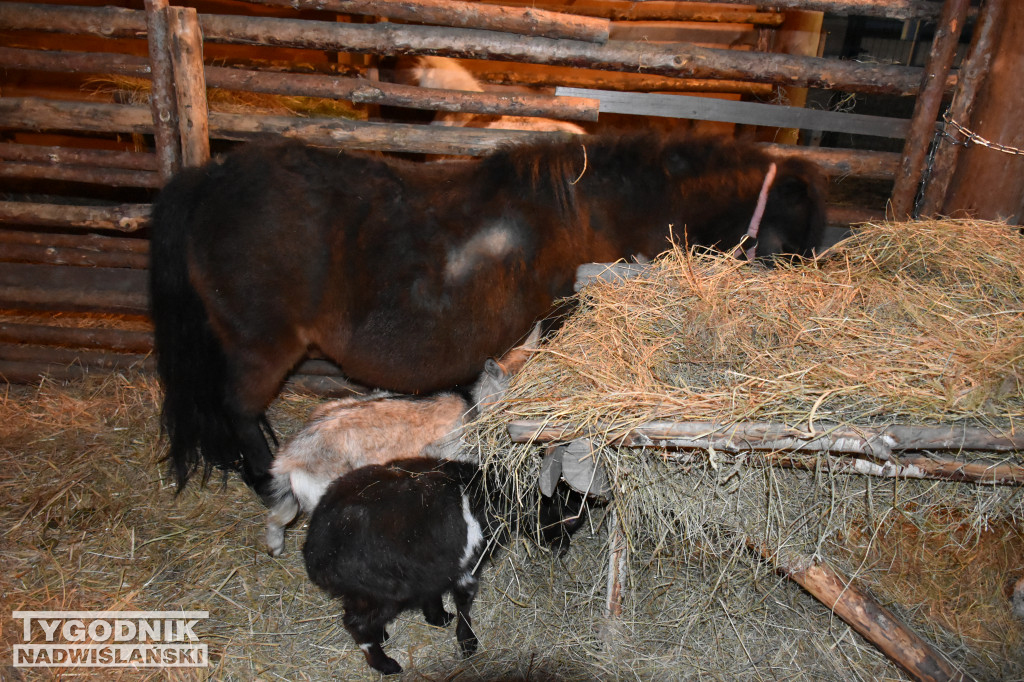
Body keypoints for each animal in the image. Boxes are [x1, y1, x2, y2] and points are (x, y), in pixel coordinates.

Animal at [148, 133, 827, 497]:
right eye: (794, 242)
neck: (597, 213)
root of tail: (212, 177)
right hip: (261, 348)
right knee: (238, 411)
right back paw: (265, 477)